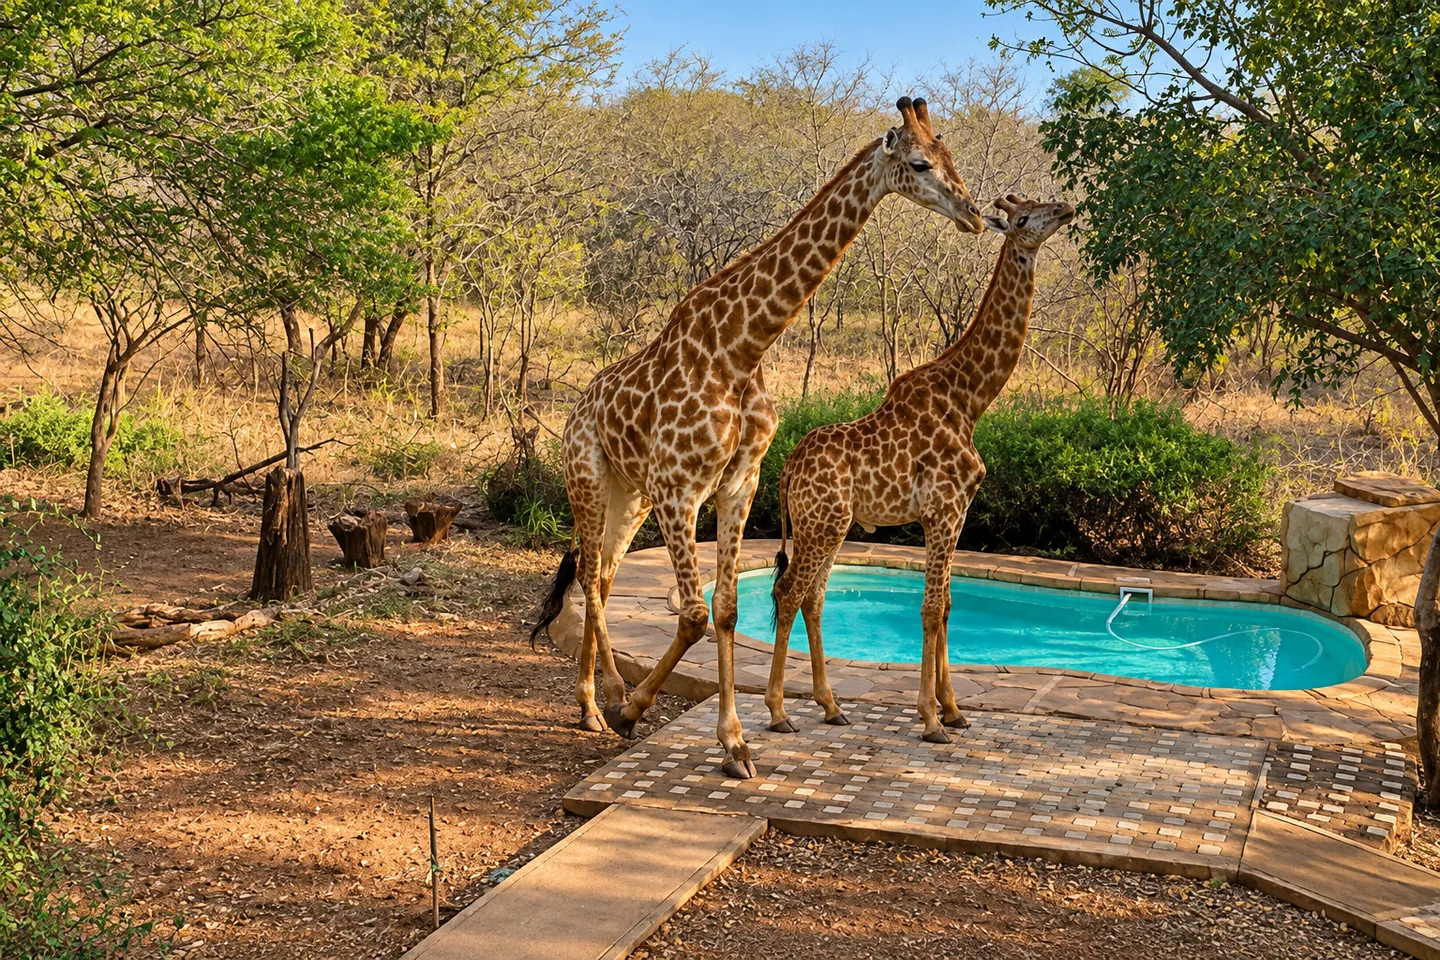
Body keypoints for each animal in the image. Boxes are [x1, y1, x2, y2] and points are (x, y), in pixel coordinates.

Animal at [529, 97, 984, 779]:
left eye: (950, 152)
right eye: (921, 162)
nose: (976, 214)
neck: (742, 346)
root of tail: (580, 404)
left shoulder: (738, 483)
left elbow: (726, 609)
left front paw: (735, 742)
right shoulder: (680, 488)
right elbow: (694, 614)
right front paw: (636, 707)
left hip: (628, 495)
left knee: (604, 574)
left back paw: (594, 700)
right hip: (587, 475)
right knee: (587, 574)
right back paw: (600, 700)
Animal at [765, 194, 1075, 742]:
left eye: (1040, 205)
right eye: (1023, 218)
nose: (1067, 210)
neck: (970, 400)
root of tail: (786, 470)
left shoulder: (958, 512)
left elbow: (948, 606)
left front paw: (953, 710)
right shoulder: (943, 510)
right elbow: (931, 609)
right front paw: (931, 719)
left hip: (828, 524)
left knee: (813, 598)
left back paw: (831, 706)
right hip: (822, 524)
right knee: (789, 591)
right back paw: (780, 712)